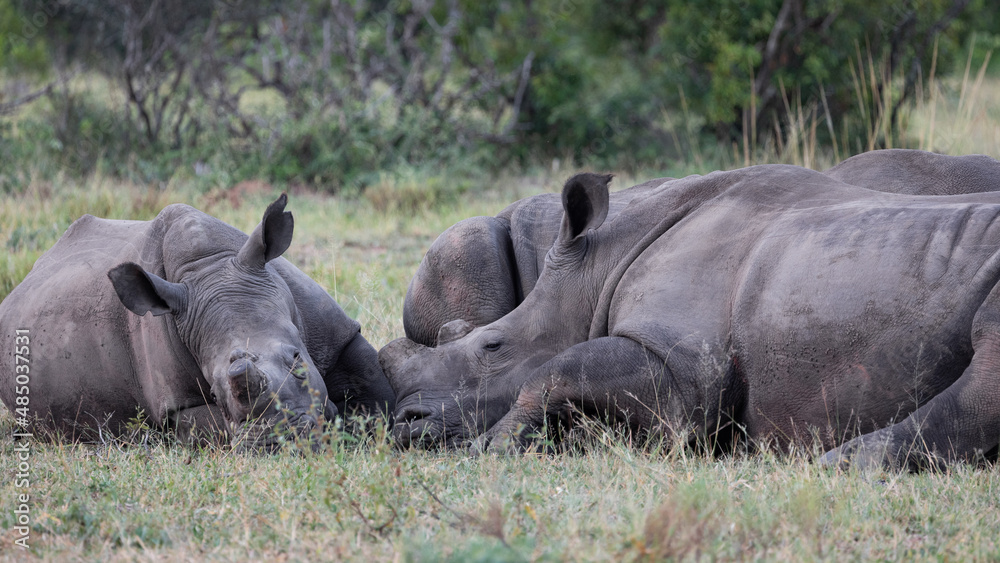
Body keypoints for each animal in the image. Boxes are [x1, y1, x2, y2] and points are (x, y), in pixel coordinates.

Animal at [0, 195, 394, 449]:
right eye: (215, 393)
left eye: (297, 360)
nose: (284, 441)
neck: (209, 266)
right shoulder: (176, 405)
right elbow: (210, 427)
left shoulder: (334, 330)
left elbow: (373, 383)